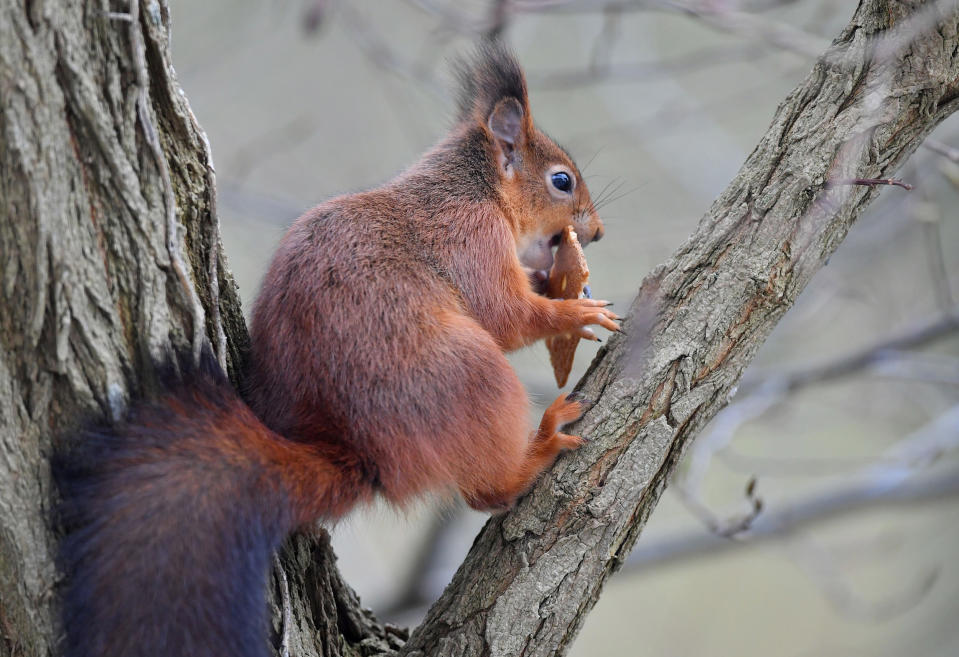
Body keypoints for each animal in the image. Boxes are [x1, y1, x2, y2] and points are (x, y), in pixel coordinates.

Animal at [56, 44, 620, 656]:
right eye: (562, 181)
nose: (598, 232)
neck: (473, 187)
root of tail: (360, 452)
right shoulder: (471, 236)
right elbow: (505, 316)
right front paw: (575, 313)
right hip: (474, 377)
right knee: (485, 492)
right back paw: (539, 447)